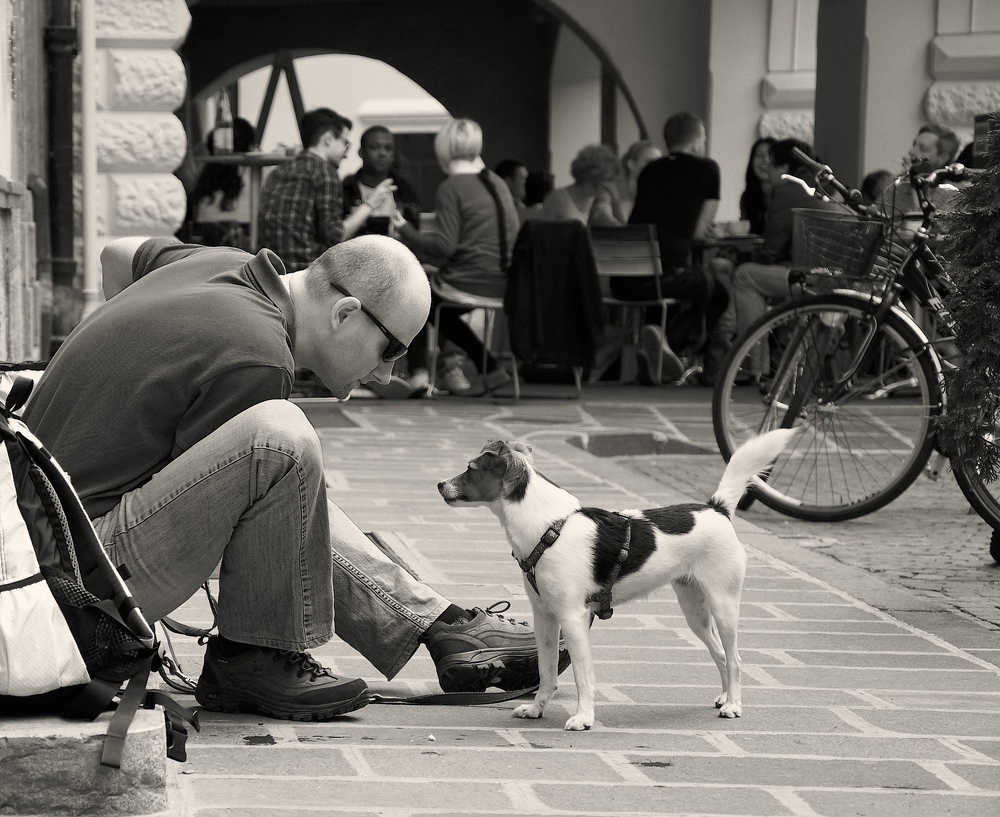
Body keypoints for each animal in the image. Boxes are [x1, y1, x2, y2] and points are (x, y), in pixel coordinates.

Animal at [438, 430, 796, 728]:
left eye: (470, 469)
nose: (439, 485)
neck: (546, 526)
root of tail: (717, 509)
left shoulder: (573, 617)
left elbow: (582, 675)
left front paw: (583, 718)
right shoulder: (545, 618)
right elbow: (546, 672)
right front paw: (537, 709)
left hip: (724, 604)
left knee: (734, 658)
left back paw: (734, 705)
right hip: (694, 611)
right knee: (720, 654)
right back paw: (724, 697)